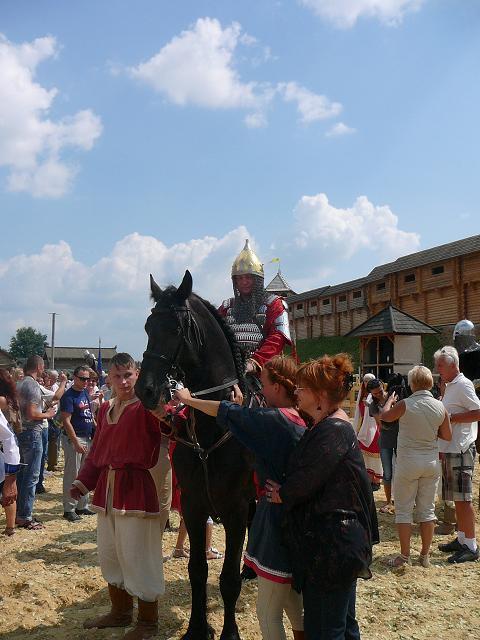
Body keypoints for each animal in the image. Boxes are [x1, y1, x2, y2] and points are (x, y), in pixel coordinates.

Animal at [135, 270, 255, 640]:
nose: (145, 390)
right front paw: (196, 628)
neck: (214, 420)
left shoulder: (237, 510)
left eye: (175, 329)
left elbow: (227, 579)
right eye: (148, 326)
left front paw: (230, 632)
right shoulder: (193, 504)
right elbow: (197, 570)